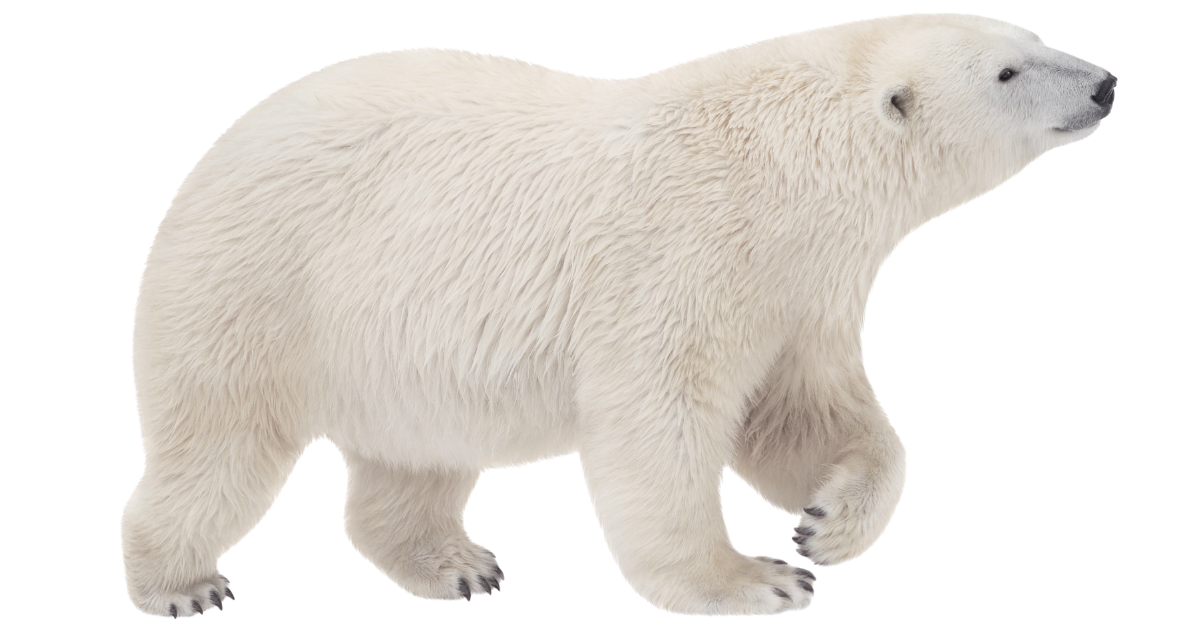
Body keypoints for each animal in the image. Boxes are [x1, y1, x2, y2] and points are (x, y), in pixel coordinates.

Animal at [122, 12, 1116, 618]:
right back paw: (181, 582)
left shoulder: (797, 285)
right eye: (1009, 70)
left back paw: (453, 566)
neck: (788, 163)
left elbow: (803, 410)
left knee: (413, 454)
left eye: (1029, 36)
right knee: (218, 441)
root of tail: (212, 154)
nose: (1103, 83)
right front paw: (751, 583)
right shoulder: (684, 250)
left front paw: (827, 521)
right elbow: (660, 418)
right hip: (261, 281)